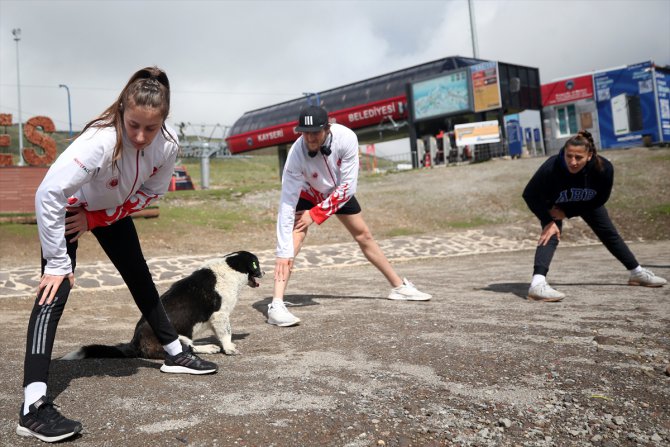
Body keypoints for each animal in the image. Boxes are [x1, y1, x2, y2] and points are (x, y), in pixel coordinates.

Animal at [61, 250, 264, 362]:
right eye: (257, 264)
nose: (263, 273)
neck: (232, 267)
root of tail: (134, 343)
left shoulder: (216, 320)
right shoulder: (220, 315)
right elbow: (226, 334)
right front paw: (229, 349)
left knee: (192, 347)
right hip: (178, 339)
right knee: (186, 350)